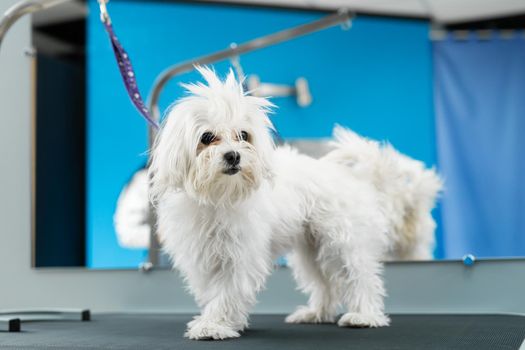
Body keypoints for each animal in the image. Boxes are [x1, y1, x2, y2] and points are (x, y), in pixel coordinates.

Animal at [148, 67, 442, 340]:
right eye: (207, 137)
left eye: (243, 135)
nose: (233, 156)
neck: (218, 197)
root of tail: (356, 178)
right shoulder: (201, 255)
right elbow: (211, 291)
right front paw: (221, 322)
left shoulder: (240, 255)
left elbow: (227, 291)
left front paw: (214, 325)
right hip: (312, 248)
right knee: (326, 283)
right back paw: (317, 313)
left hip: (345, 242)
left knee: (361, 277)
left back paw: (364, 315)